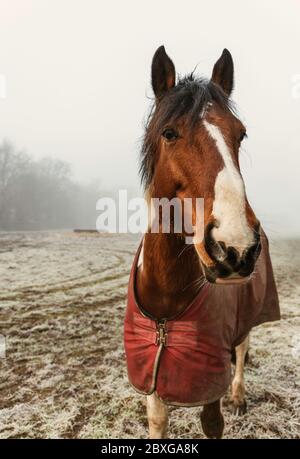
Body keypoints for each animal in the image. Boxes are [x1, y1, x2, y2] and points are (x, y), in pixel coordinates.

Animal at [123, 45, 280, 438]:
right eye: (169, 133)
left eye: (240, 134)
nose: (236, 246)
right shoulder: (153, 378)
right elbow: (157, 420)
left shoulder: (210, 383)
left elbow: (213, 422)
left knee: (242, 347)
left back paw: (239, 396)